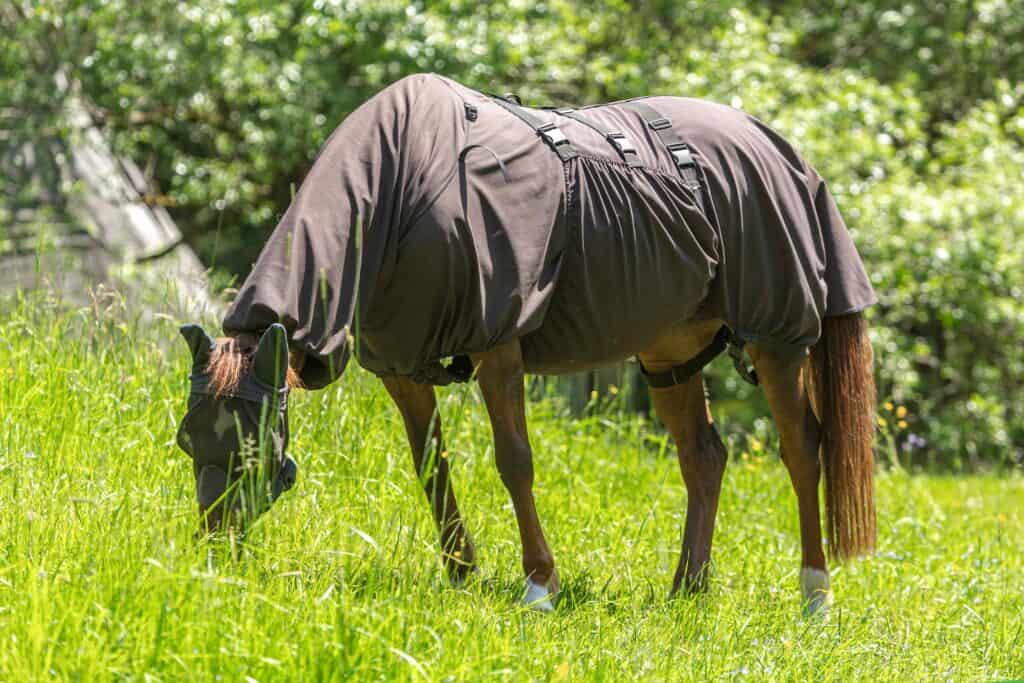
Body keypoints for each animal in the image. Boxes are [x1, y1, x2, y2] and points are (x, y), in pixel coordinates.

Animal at [175, 73, 877, 615]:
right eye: (186, 440)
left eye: (251, 447)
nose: (209, 559)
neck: (404, 187)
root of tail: (780, 148)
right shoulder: (402, 366)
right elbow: (430, 465)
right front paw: (461, 573)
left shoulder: (498, 344)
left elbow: (514, 461)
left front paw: (539, 585)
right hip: (671, 353)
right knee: (703, 458)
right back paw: (688, 590)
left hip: (777, 338)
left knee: (801, 449)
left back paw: (815, 596)